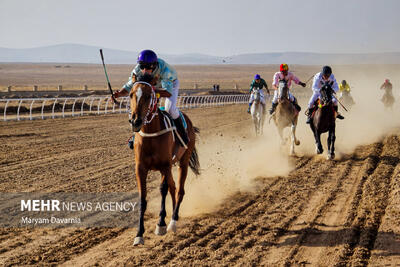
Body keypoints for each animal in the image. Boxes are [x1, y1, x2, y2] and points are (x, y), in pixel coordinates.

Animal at [129, 74, 199, 246]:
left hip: (183, 162)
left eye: (149, 95)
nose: (135, 121)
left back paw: (173, 221)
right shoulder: (140, 168)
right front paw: (139, 234)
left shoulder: (164, 165)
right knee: (174, 188)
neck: (150, 134)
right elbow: (142, 198)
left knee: (179, 190)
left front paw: (161, 224)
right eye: (131, 94)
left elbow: (163, 189)